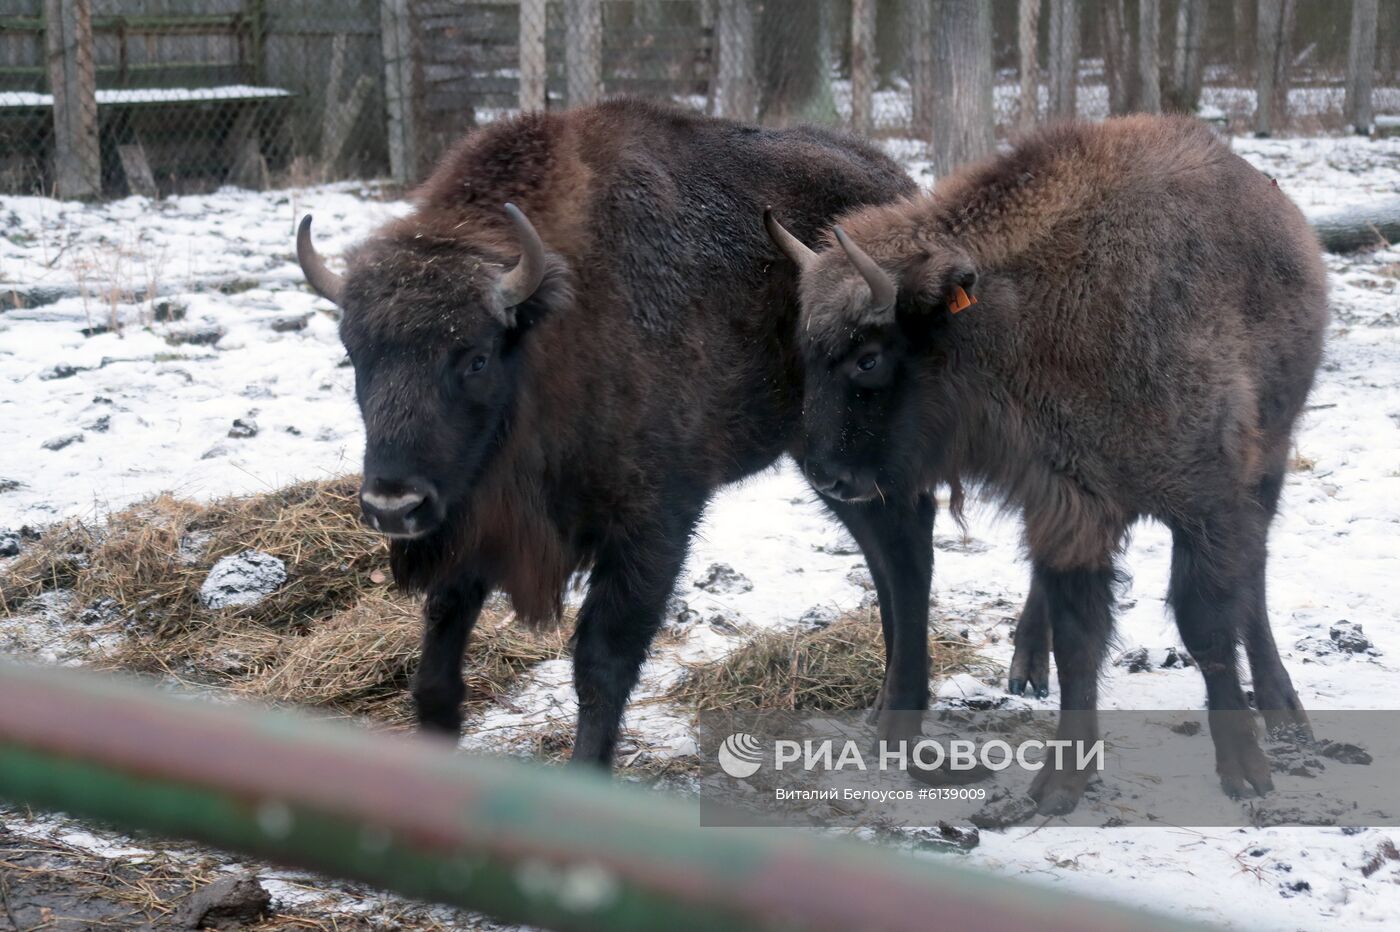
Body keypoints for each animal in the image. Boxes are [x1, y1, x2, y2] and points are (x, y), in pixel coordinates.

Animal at [299, 97, 924, 761]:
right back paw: (882, 710)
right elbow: (438, 663)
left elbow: (603, 665)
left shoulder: (654, 521)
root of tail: (903, 187)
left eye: (476, 357)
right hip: (825, 462)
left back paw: (900, 722)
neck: (549, 329)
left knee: (906, 549)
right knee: (884, 552)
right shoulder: (477, 518)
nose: (392, 506)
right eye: (354, 353)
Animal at [772, 116, 1327, 811]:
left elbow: (1207, 628)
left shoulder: (1208, 502)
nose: (826, 474)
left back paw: (1283, 708)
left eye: (867, 357)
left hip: (1270, 462)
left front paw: (1244, 771)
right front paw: (1061, 782)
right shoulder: (1066, 504)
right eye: (807, 352)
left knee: (1254, 581)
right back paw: (1026, 668)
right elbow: (1079, 641)